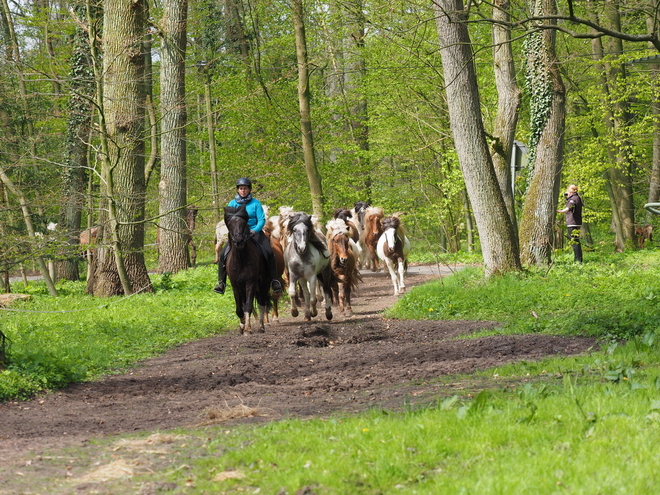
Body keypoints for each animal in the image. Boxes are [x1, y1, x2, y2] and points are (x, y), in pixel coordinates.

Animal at [224, 205, 270, 334]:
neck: (241, 259)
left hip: (264, 284)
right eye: (230, 224)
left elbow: (249, 306)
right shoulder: (236, 284)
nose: (239, 241)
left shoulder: (251, 282)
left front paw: (248, 329)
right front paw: (242, 326)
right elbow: (240, 308)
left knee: (261, 304)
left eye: (244, 223)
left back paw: (261, 326)